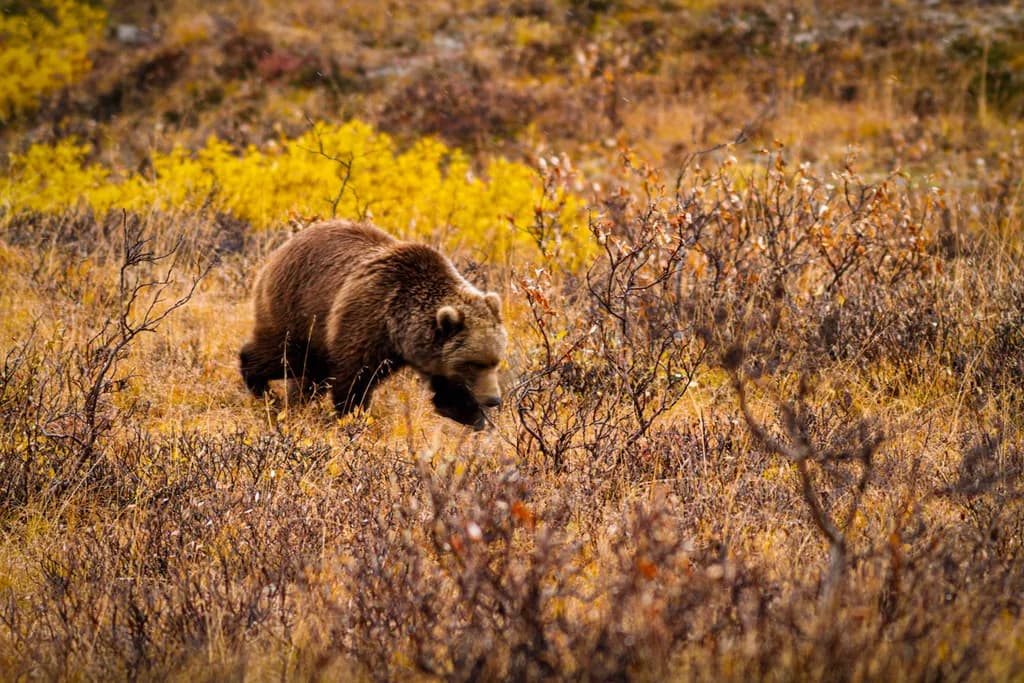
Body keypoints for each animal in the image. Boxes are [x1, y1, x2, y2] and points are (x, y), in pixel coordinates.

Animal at [239, 220, 506, 429]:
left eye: (496, 361)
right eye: (473, 363)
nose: (494, 399)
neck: (398, 326)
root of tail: (281, 249)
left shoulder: (428, 352)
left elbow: (447, 385)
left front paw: (470, 415)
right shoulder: (366, 321)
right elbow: (354, 381)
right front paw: (353, 419)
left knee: (310, 374)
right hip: (299, 310)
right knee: (285, 355)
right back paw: (262, 389)